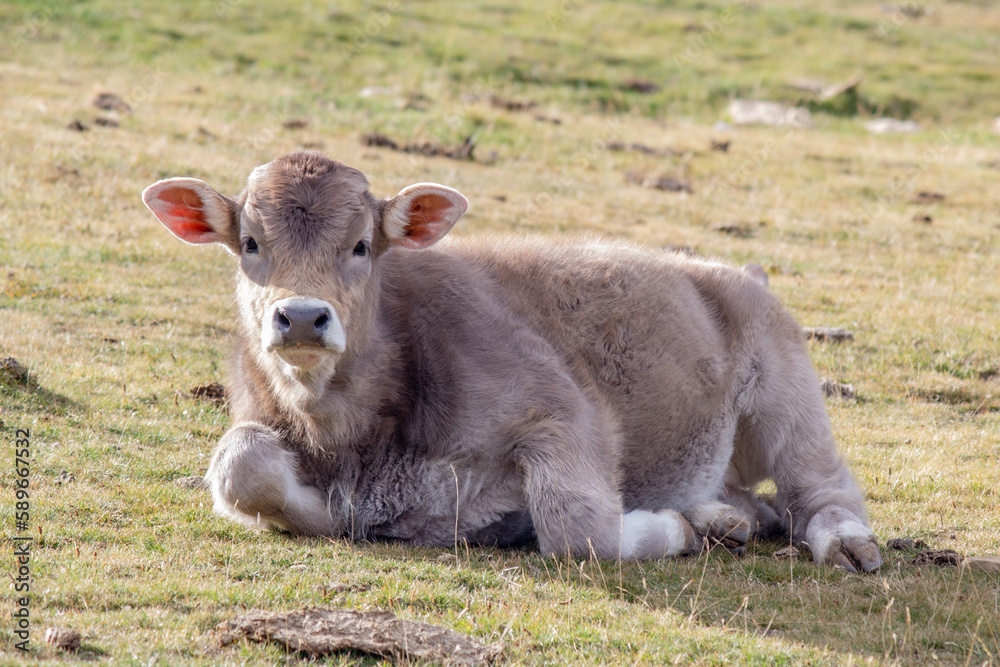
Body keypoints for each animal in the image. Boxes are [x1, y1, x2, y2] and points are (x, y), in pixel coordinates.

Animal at [142, 151, 882, 572]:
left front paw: (670, 529)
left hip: (785, 384)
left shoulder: (564, 411)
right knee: (760, 504)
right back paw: (724, 518)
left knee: (822, 487)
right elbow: (239, 464)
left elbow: (579, 527)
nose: (300, 316)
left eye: (361, 245)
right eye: (250, 242)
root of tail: (731, 270)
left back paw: (842, 544)